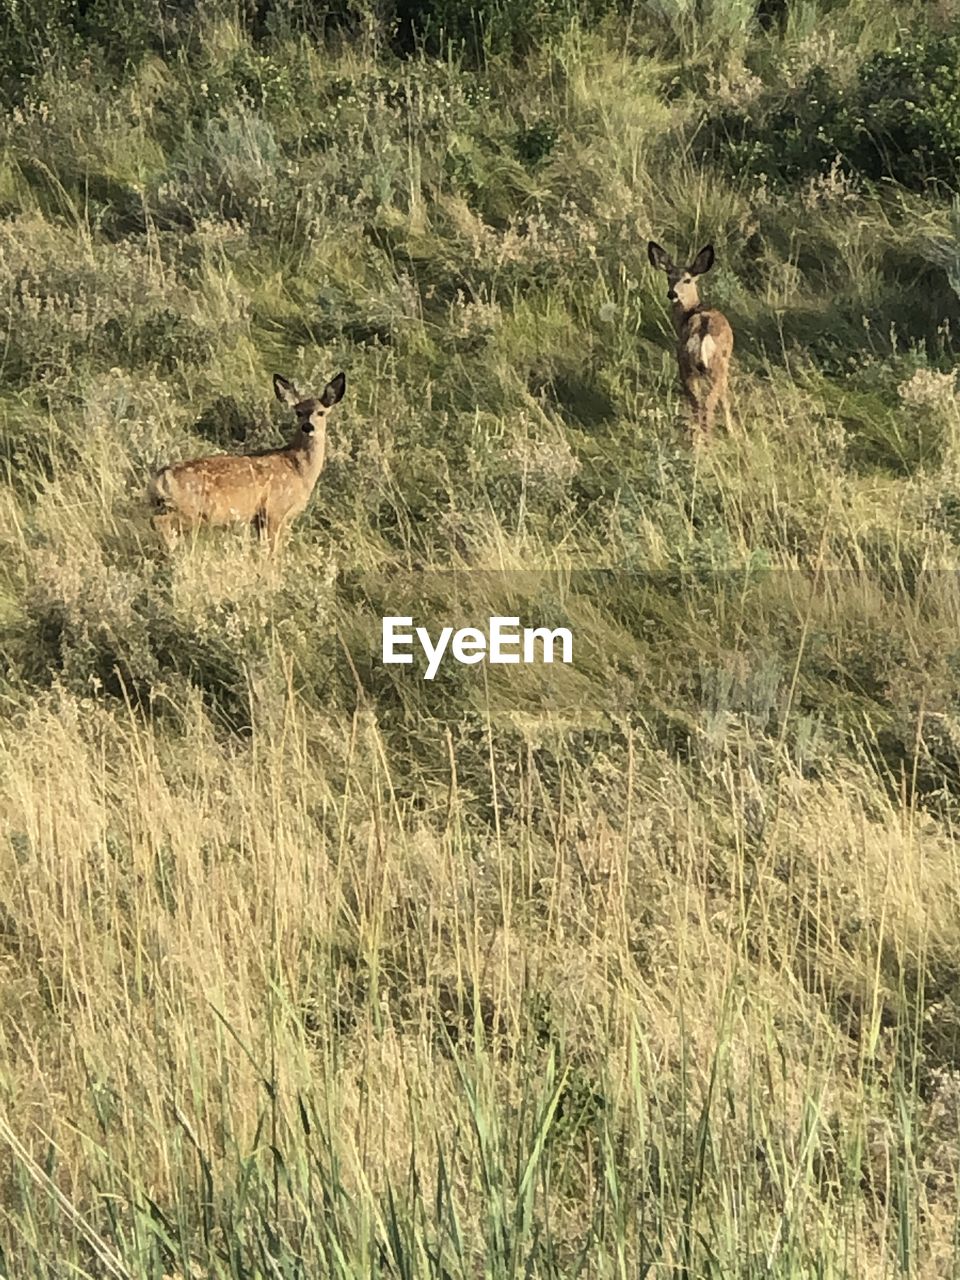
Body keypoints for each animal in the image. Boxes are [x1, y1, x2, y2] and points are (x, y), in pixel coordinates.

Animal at [148, 371, 348, 550]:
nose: (308, 426)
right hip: (189, 509)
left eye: (321, 412)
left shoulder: (259, 518)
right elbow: (272, 551)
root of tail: (161, 476)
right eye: (298, 412)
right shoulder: (274, 509)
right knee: (160, 522)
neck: (298, 468)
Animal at [647, 240, 737, 440]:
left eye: (687, 280)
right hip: (712, 367)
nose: (672, 294)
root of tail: (702, 334)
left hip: (687, 364)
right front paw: (732, 431)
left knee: (698, 405)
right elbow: (725, 399)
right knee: (707, 406)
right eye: (669, 277)